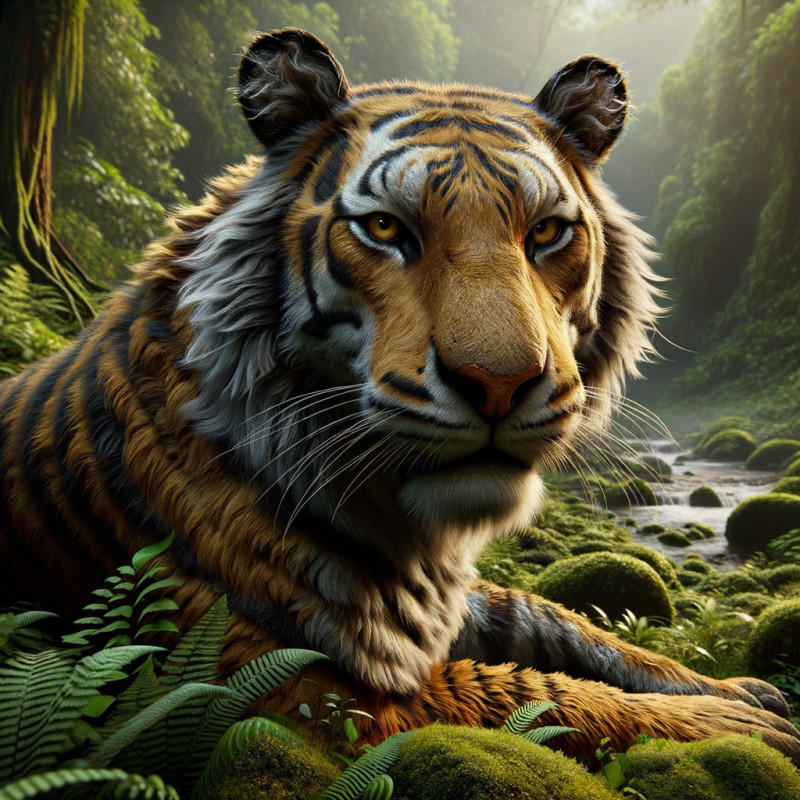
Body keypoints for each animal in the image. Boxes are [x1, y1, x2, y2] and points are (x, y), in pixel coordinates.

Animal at [1, 28, 799, 767]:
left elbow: (555, 620)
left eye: (546, 231)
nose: (501, 383)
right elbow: (519, 692)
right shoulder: (300, 689)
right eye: (385, 227)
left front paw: (734, 689)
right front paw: (738, 726)